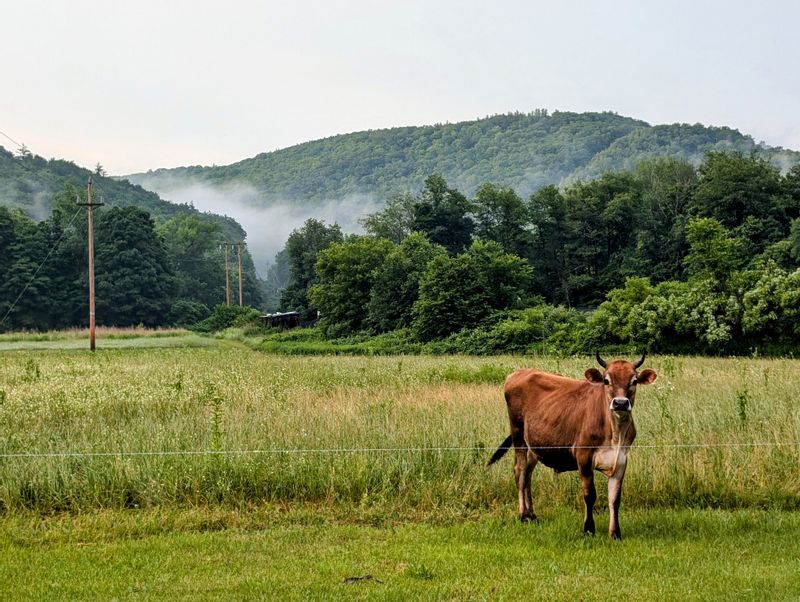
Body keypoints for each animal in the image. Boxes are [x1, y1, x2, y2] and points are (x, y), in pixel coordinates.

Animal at [487, 353, 657, 539]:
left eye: (634, 381)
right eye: (606, 380)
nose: (620, 403)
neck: (615, 433)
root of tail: (518, 373)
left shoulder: (621, 460)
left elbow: (615, 498)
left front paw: (615, 533)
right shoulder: (583, 456)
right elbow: (590, 495)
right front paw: (588, 529)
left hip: (534, 443)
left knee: (528, 473)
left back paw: (532, 514)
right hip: (517, 432)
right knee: (520, 470)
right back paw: (523, 515)